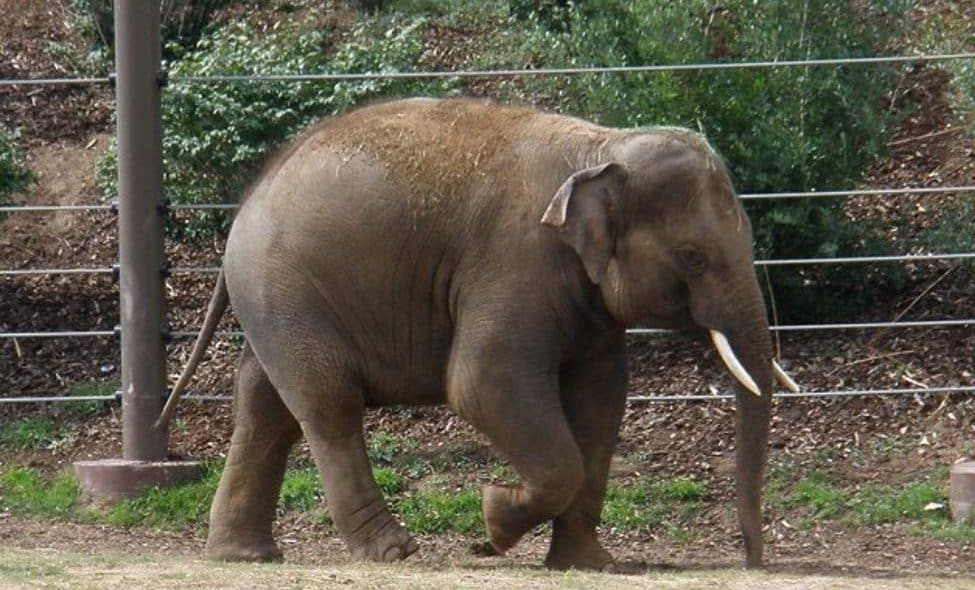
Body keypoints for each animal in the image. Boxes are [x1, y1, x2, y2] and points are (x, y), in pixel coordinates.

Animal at [157, 97, 799, 571]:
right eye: (692, 257)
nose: (752, 561)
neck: (601, 146)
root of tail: (247, 199)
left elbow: (601, 400)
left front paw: (587, 564)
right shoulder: (516, 262)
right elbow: (481, 384)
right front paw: (492, 521)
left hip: (275, 303)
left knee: (264, 405)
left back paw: (246, 556)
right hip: (288, 291)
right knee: (327, 405)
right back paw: (394, 551)